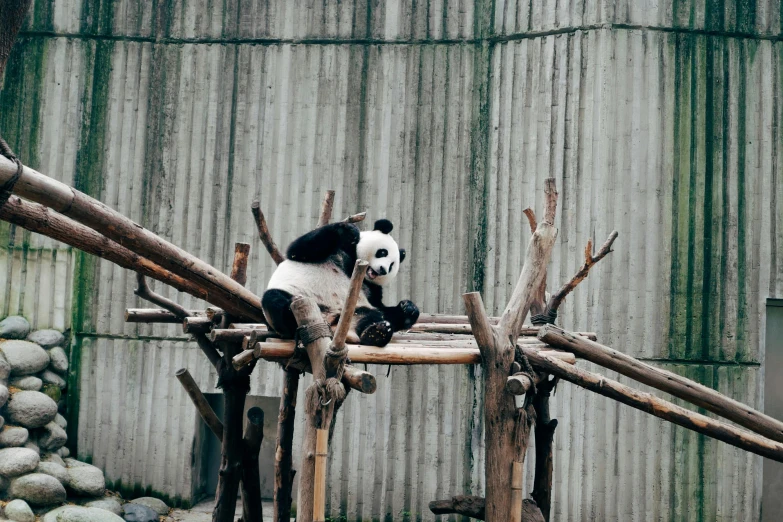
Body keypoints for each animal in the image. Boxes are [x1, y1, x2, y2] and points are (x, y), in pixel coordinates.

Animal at [262, 217, 422, 344]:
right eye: (383, 252)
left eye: (392, 265)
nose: (383, 270)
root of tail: (329, 324)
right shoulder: (339, 250)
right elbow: (298, 250)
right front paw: (348, 230)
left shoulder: (371, 287)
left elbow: (382, 308)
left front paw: (409, 308)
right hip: (299, 297)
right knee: (274, 299)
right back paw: (290, 313)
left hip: (353, 312)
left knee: (373, 315)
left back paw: (377, 332)